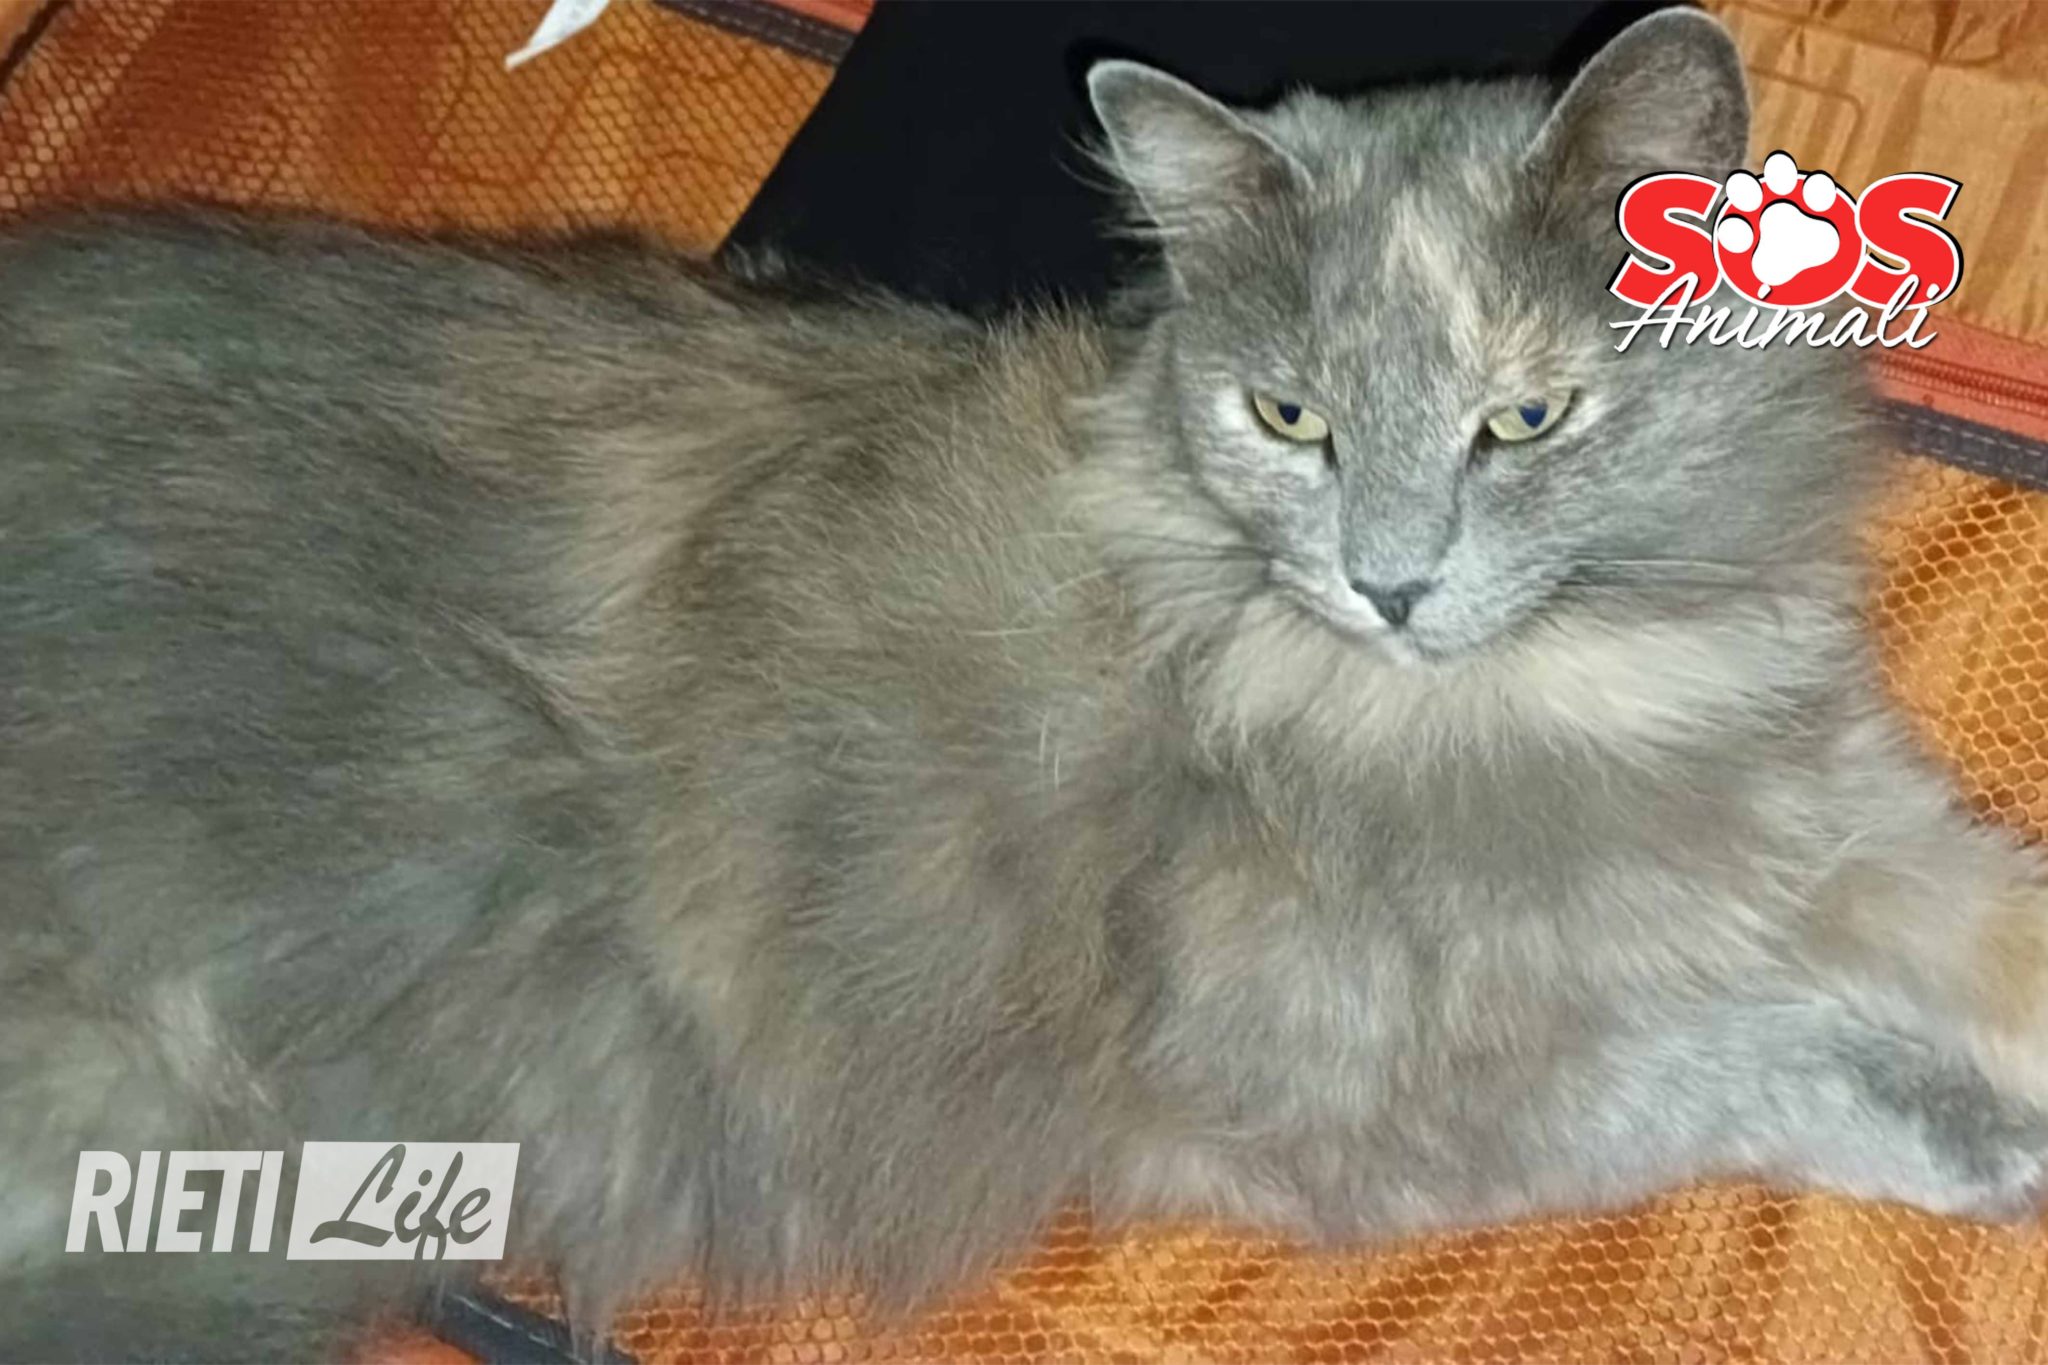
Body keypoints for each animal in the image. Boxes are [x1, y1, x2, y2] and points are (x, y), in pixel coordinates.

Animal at [5, 8, 2048, 1360]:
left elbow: (1986, 930)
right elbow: (1733, 1062)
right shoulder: (1332, 1099)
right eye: (1285, 418)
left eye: (1524, 419)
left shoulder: (1843, 818)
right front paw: (1984, 1141)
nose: (1387, 582)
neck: (1555, 697)